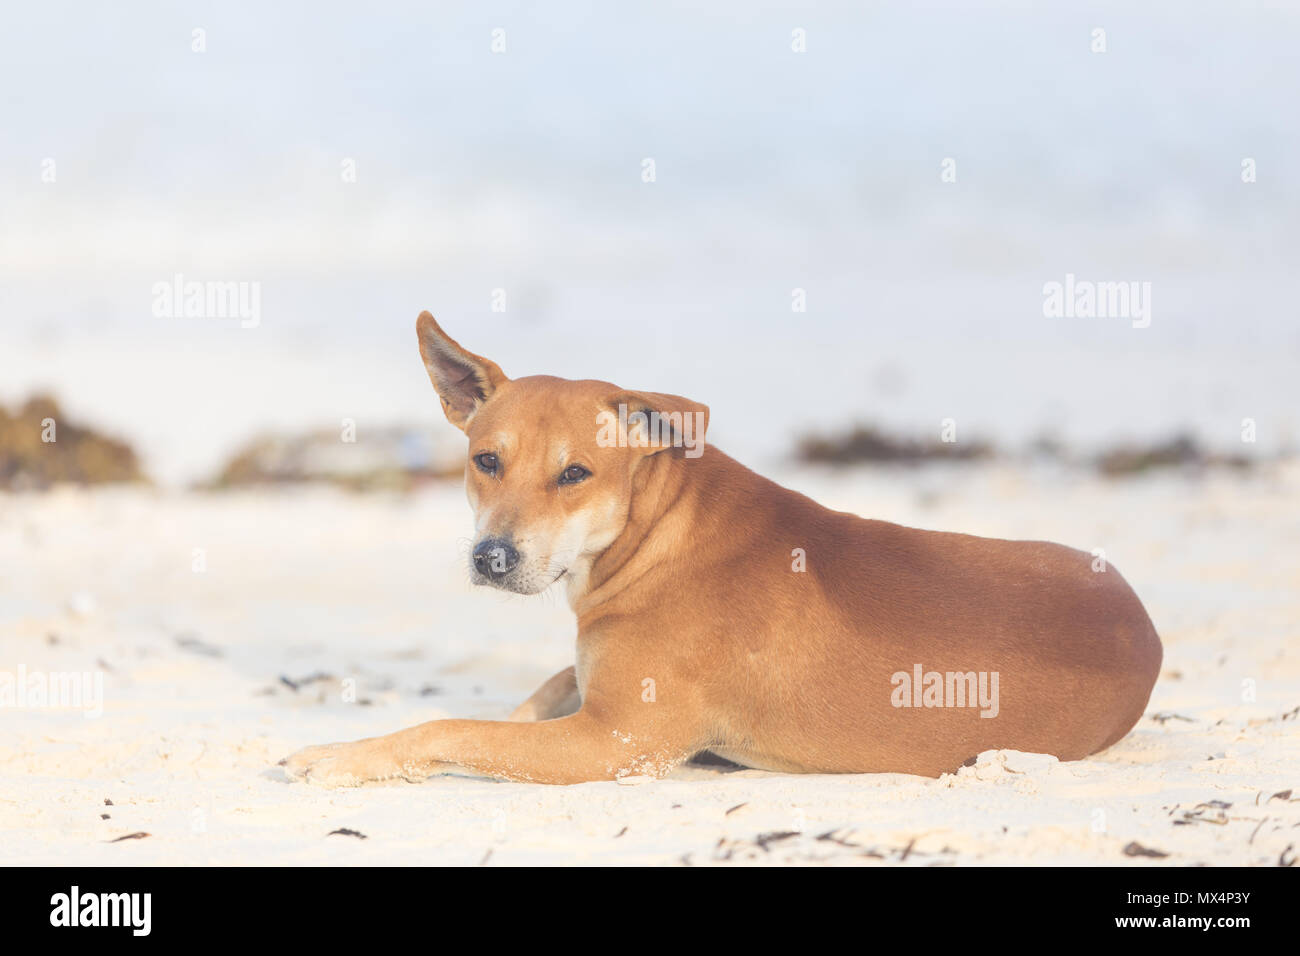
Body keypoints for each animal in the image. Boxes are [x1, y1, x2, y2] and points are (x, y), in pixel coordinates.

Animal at [279, 314, 1164, 785]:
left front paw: (339, 755)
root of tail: (1145, 629)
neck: (655, 535)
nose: (492, 557)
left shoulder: (614, 742)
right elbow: (535, 692)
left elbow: (453, 728)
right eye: (486, 461)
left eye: (575, 473)